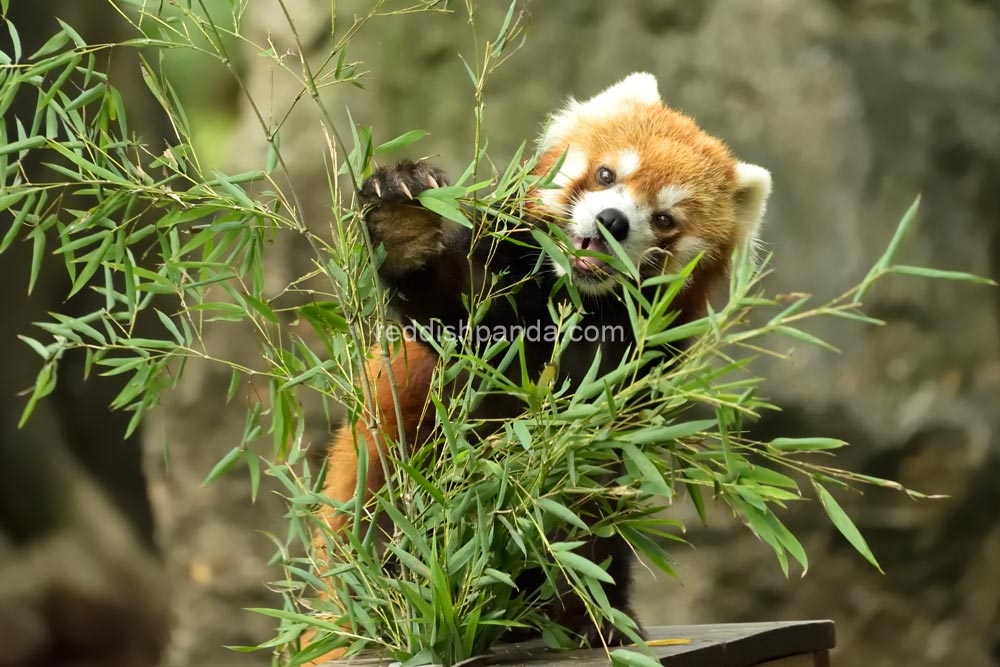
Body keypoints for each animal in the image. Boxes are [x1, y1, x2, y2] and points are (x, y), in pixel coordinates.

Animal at [310, 72, 772, 656]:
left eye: (664, 219)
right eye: (606, 175)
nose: (613, 221)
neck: (580, 304)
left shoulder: (627, 386)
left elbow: (575, 499)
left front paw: (586, 613)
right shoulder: (494, 300)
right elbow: (449, 309)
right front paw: (406, 222)